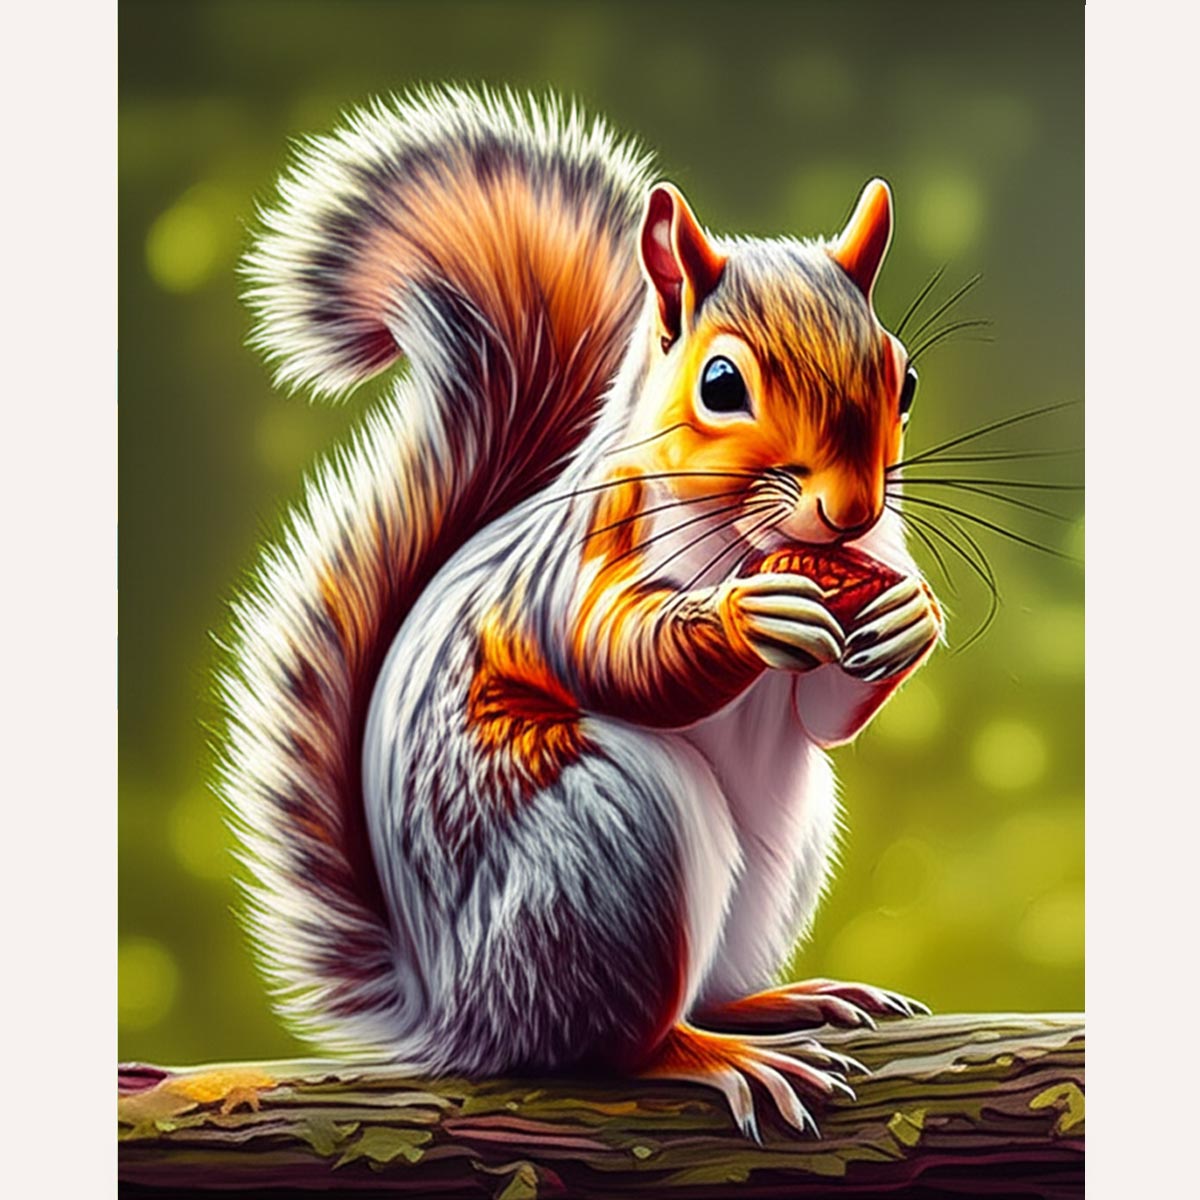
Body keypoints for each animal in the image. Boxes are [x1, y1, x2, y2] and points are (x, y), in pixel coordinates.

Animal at [219, 85, 943, 1138]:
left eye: (905, 377)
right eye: (721, 385)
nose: (853, 512)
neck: (750, 534)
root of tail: (457, 1014)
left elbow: (826, 715)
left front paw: (910, 620)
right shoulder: (578, 565)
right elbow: (613, 655)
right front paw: (744, 618)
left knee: (713, 985)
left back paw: (784, 1000)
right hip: (609, 840)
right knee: (618, 1044)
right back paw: (714, 1055)